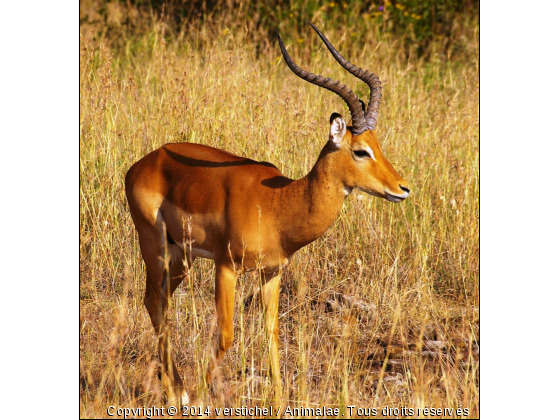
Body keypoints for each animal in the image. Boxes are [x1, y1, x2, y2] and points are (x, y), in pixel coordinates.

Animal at [124, 22, 410, 404]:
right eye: (361, 151)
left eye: (379, 145)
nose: (402, 188)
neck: (279, 204)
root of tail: (145, 162)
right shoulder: (226, 267)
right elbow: (226, 336)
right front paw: (200, 398)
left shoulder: (272, 272)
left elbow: (271, 332)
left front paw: (279, 400)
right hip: (155, 246)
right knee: (155, 302)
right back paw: (178, 395)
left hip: (181, 255)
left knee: (157, 302)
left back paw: (177, 390)